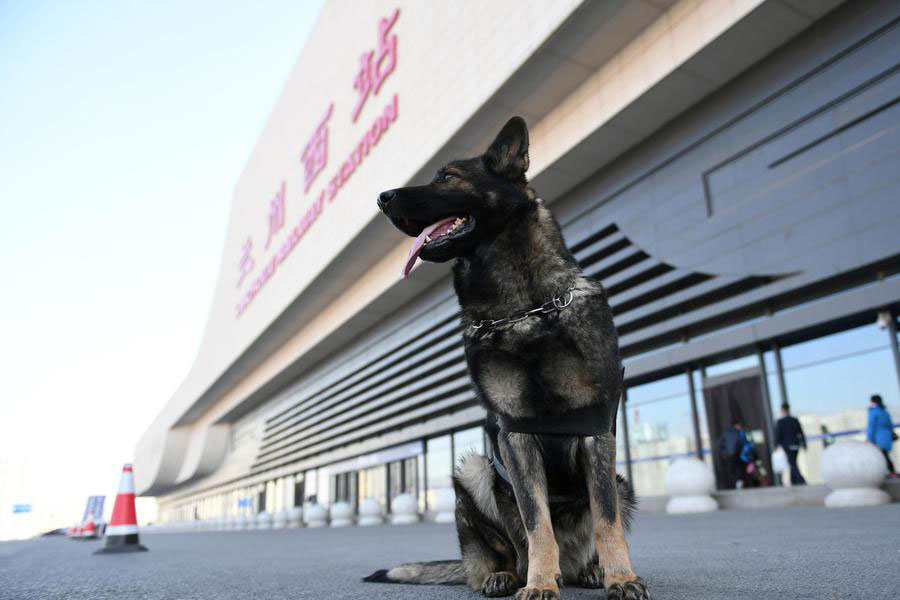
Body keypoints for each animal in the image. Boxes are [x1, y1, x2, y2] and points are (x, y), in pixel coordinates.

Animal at [370, 118, 652, 600]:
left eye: (447, 176)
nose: (382, 198)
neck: (525, 310)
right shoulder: (516, 435)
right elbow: (537, 524)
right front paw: (539, 584)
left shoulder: (595, 430)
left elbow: (607, 520)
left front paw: (621, 576)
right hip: (473, 471)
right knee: (502, 554)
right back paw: (507, 576)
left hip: (622, 481)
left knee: (593, 530)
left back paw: (591, 570)